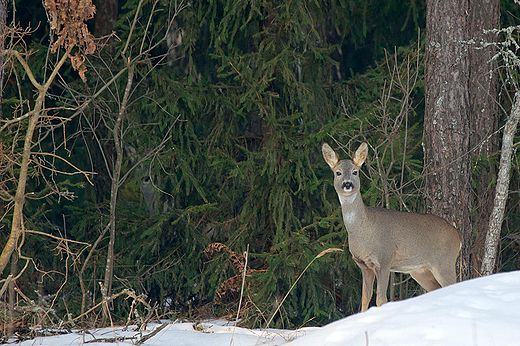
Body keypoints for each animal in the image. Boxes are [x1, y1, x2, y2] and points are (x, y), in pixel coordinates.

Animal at [322, 142, 462, 312]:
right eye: (338, 172)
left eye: (355, 171)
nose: (347, 184)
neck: (364, 229)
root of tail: (458, 235)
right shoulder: (363, 265)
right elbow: (365, 298)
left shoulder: (384, 258)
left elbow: (381, 299)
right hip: (420, 271)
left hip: (445, 261)